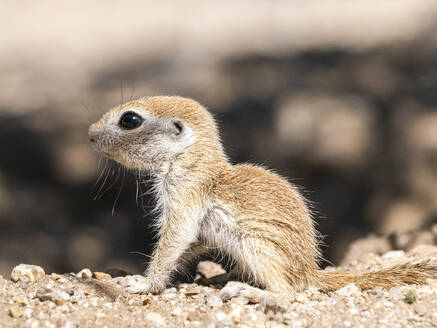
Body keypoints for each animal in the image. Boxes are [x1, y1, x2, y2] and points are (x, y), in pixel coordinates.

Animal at [87, 95, 434, 300]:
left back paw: (250, 291)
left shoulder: (184, 196)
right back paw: (224, 276)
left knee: (288, 291)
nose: (89, 134)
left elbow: (176, 238)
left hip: (258, 246)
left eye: (130, 119)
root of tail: (309, 270)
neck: (193, 160)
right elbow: (191, 243)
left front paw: (143, 284)